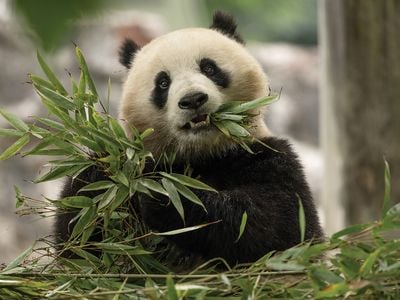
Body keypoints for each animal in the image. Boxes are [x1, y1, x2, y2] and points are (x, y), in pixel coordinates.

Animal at [55, 11, 324, 268]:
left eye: (209, 68)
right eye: (163, 83)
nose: (193, 99)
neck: (202, 154)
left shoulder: (267, 157)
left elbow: (278, 226)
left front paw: (166, 196)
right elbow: (78, 245)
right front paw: (101, 174)